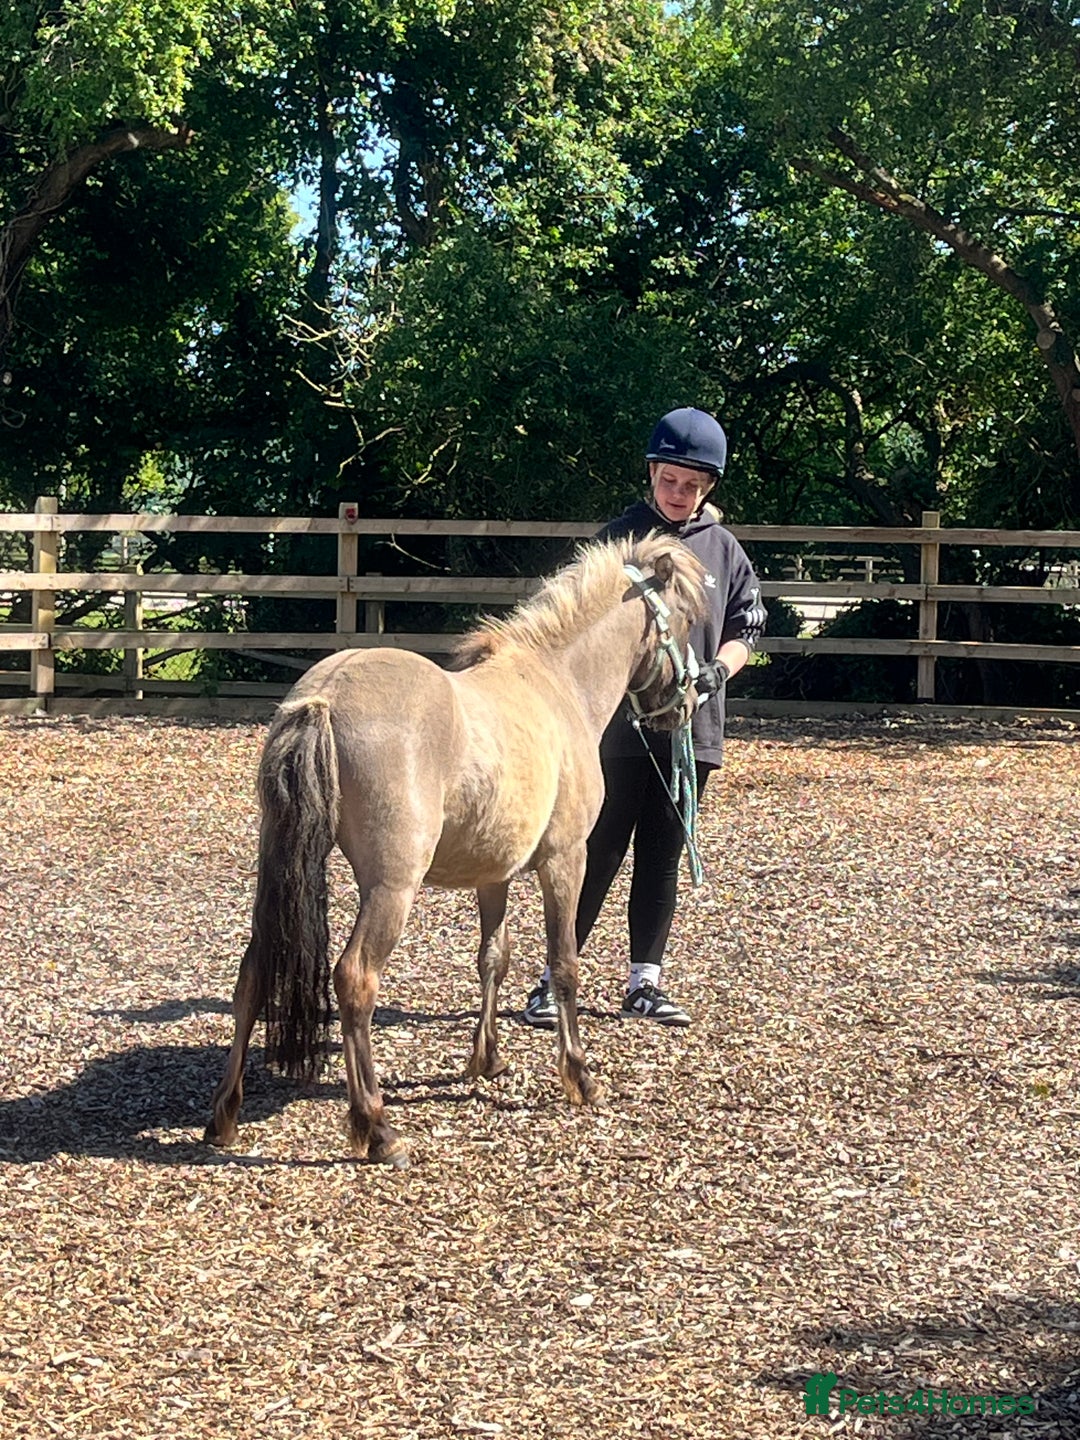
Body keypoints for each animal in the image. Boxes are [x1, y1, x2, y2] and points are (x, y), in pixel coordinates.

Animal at [204, 531, 706, 1164]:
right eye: (685, 619)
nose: (692, 698)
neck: (558, 683)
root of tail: (322, 697)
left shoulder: (495, 874)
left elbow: (494, 957)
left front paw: (486, 1060)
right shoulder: (566, 859)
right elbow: (564, 963)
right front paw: (580, 1077)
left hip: (278, 867)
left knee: (252, 975)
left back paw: (224, 1117)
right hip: (392, 889)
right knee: (355, 980)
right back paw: (377, 1128)